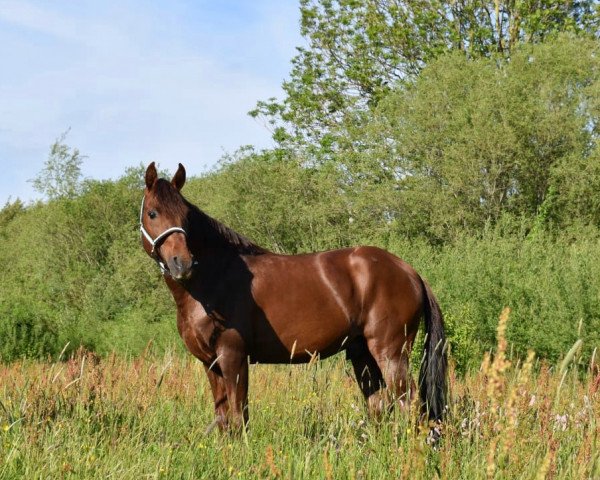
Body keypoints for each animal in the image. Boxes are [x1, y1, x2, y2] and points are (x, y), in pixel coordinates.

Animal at [141, 162, 446, 432]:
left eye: (185, 217)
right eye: (152, 213)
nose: (182, 264)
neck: (213, 280)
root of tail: (409, 271)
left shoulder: (233, 356)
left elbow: (239, 418)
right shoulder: (210, 363)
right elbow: (223, 418)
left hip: (391, 352)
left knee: (409, 403)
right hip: (362, 353)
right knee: (379, 406)